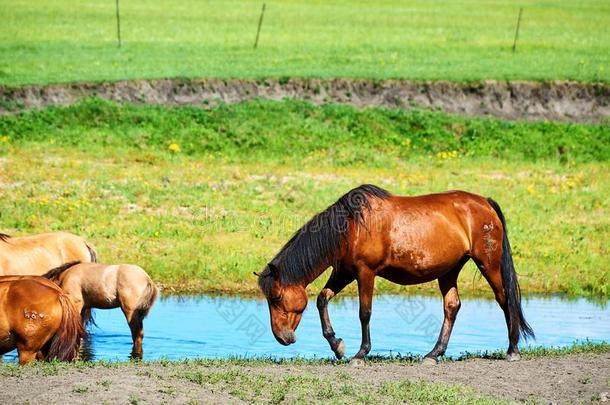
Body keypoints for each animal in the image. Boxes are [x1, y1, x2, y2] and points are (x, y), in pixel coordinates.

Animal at [256, 183, 532, 362]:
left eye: (276, 298)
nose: (281, 337)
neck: (351, 226)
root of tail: (485, 202)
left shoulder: (365, 272)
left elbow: (364, 312)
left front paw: (360, 353)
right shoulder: (344, 271)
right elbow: (322, 299)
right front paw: (337, 346)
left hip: (488, 263)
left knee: (505, 299)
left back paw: (512, 351)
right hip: (450, 270)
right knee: (452, 306)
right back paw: (434, 354)